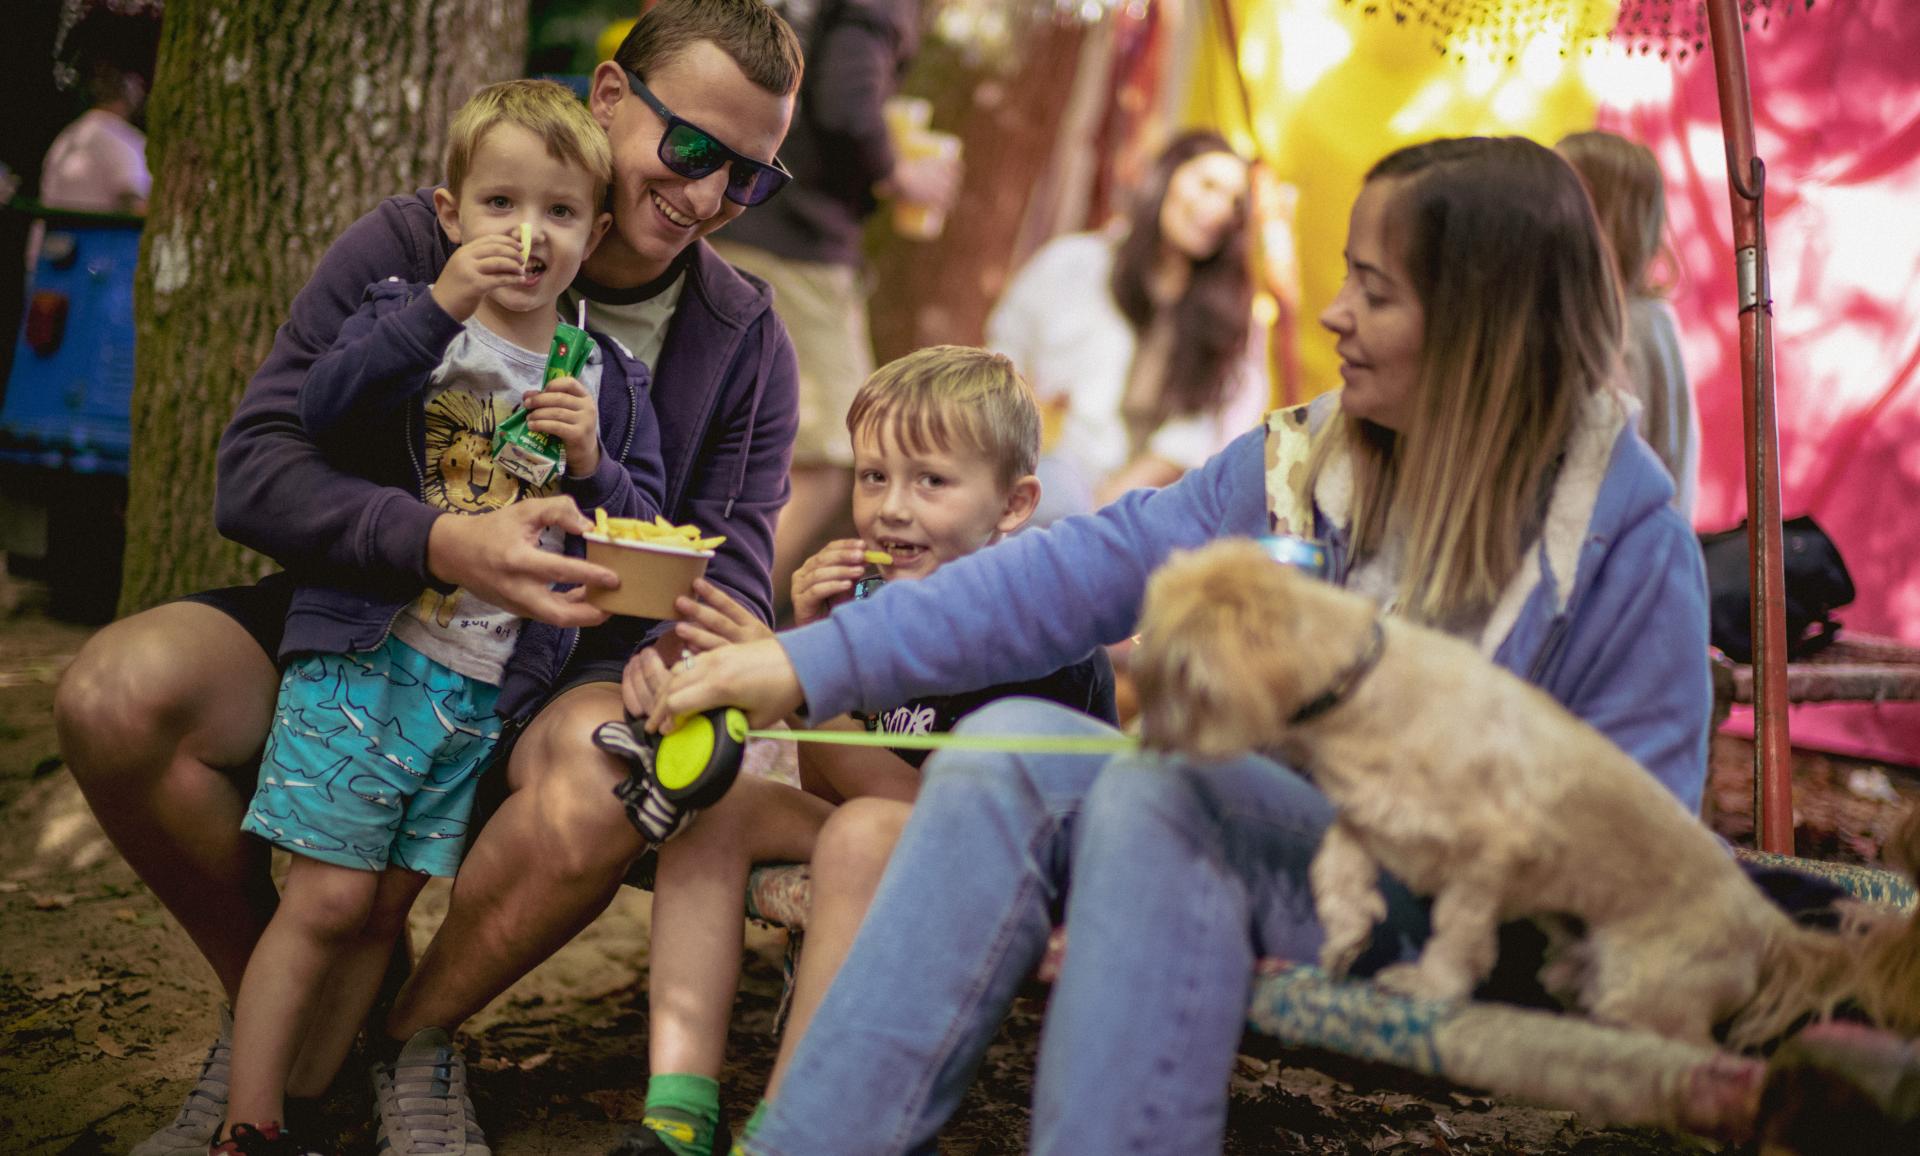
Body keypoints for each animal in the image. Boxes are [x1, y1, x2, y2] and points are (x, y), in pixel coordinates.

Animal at [1128, 533, 1912, 1052]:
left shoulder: (1491, 856)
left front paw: (1429, 984)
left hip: (1643, 990)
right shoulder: (1371, 820)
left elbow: (1457, 928)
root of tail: (1763, 920)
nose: (1145, 740)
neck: (1370, 690)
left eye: (1178, 673)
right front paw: (1348, 935)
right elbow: (1335, 864)